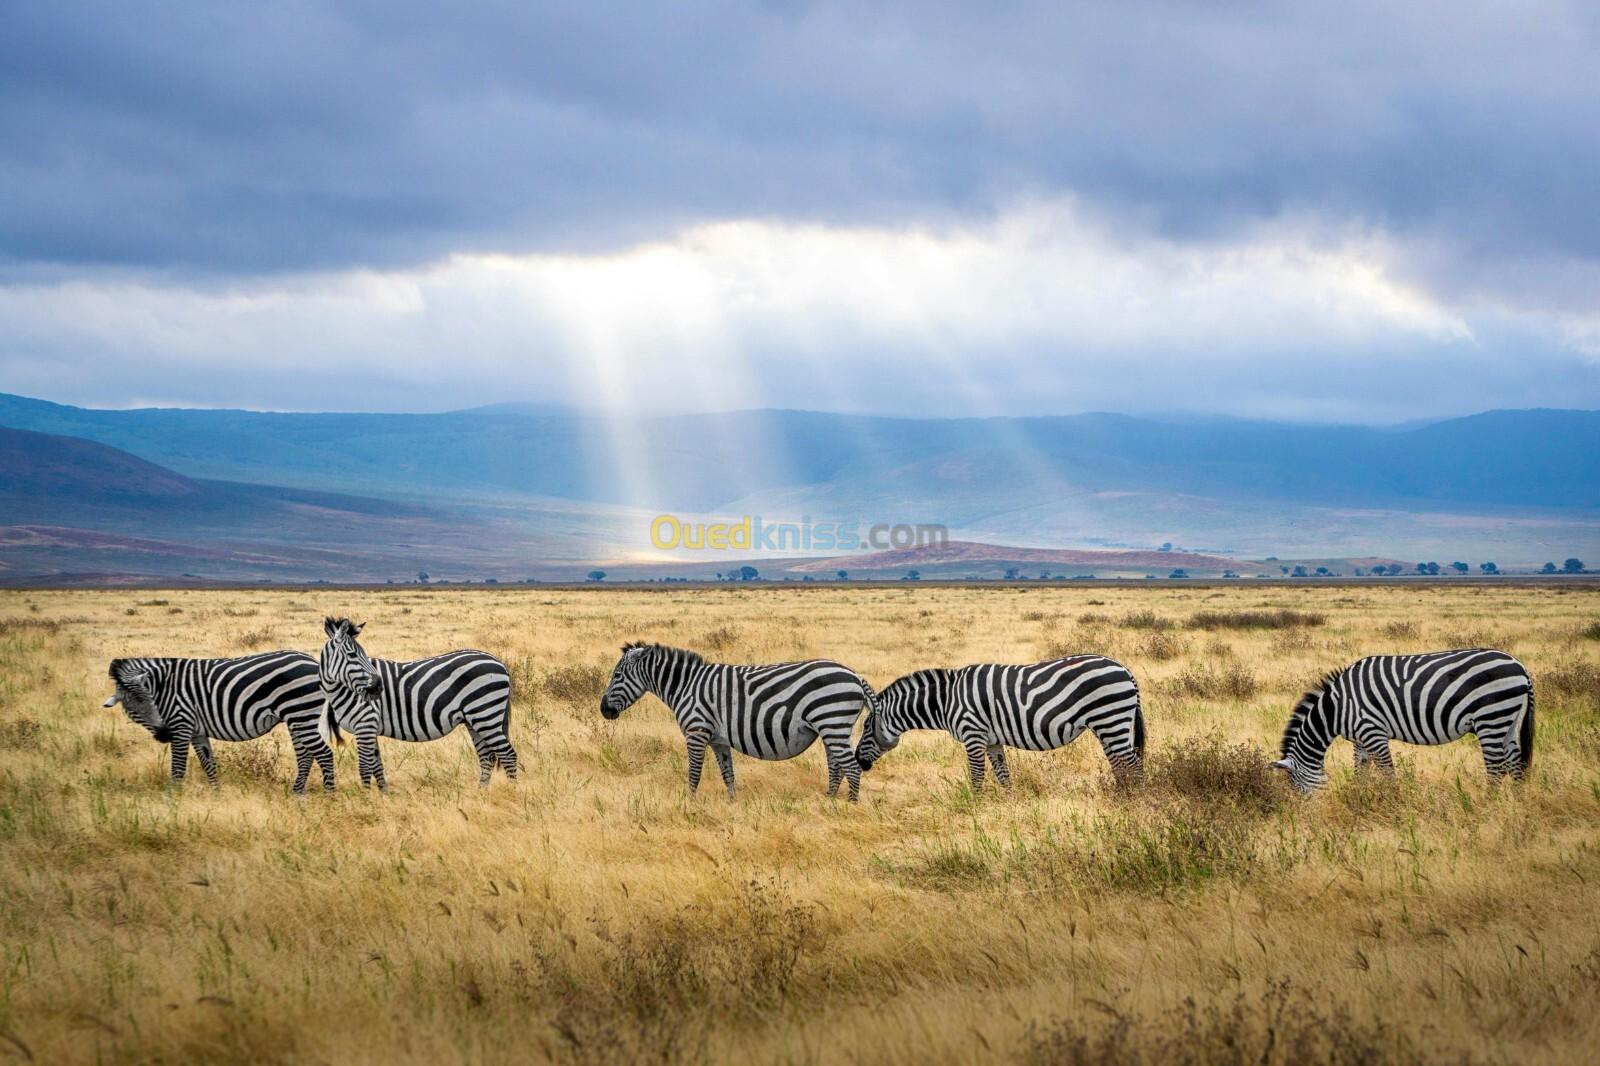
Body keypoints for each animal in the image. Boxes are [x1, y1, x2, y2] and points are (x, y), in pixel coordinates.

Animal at [102, 646, 334, 787]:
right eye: (133, 710)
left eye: (151, 701)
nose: (163, 735)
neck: (164, 686)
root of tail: (314, 661)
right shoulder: (196, 732)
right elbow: (209, 765)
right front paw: (216, 794)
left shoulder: (181, 725)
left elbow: (178, 769)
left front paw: (172, 803)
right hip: (298, 718)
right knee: (305, 756)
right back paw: (297, 794)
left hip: (301, 714)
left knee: (324, 754)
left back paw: (329, 796)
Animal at [321, 614, 521, 787]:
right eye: (353, 655)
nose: (378, 687)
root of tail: (500, 662)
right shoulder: (370, 727)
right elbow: (377, 765)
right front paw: (384, 794)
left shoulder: (365, 724)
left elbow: (365, 767)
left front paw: (367, 797)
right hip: (475, 720)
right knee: (487, 756)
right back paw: (481, 792)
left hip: (485, 714)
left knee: (508, 754)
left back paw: (512, 791)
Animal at [601, 640, 876, 797]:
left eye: (616, 675)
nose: (604, 710)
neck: (686, 685)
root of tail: (855, 675)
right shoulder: (718, 740)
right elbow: (728, 774)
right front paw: (732, 805)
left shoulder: (696, 732)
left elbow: (694, 773)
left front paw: (689, 804)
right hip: (831, 728)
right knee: (836, 766)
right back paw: (829, 801)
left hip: (832, 721)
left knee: (851, 768)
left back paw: (849, 807)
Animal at [857, 653, 1145, 784]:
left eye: (867, 726)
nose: (859, 761)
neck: (946, 700)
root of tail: (1124, 668)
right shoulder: (992, 740)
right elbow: (1003, 775)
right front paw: (1007, 805)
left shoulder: (973, 735)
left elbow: (977, 777)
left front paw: (975, 809)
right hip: (1107, 725)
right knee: (1119, 763)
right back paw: (1120, 796)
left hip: (1111, 718)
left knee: (1132, 763)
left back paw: (1135, 800)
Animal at [1273, 643, 1536, 793]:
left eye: (1296, 786)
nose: (1305, 815)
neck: (1336, 708)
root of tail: (1520, 666)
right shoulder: (1360, 739)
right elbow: (1361, 771)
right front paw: (1359, 798)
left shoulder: (1373, 732)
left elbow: (1388, 773)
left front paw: (1394, 803)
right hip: (1508, 720)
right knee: (1515, 764)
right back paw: (1516, 806)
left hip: (1490, 718)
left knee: (1496, 768)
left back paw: (1487, 805)